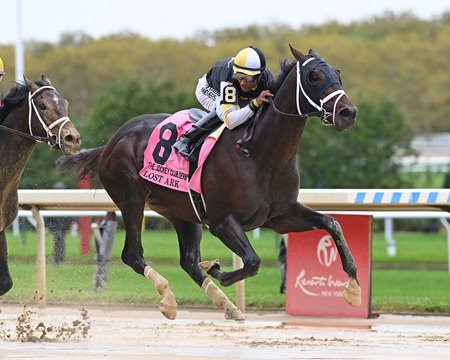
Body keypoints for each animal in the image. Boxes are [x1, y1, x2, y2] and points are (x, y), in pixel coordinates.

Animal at [59, 46, 360, 320]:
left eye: (338, 74)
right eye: (314, 76)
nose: (348, 113)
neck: (258, 151)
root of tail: (112, 141)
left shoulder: (280, 216)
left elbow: (332, 223)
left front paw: (354, 289)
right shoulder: (223, 222)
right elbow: (252, 261)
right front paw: (216, 268)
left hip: (182, 212)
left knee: (188, 261)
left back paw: (228, 306)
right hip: (131, 198)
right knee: (133, 255)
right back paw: (169, 298)